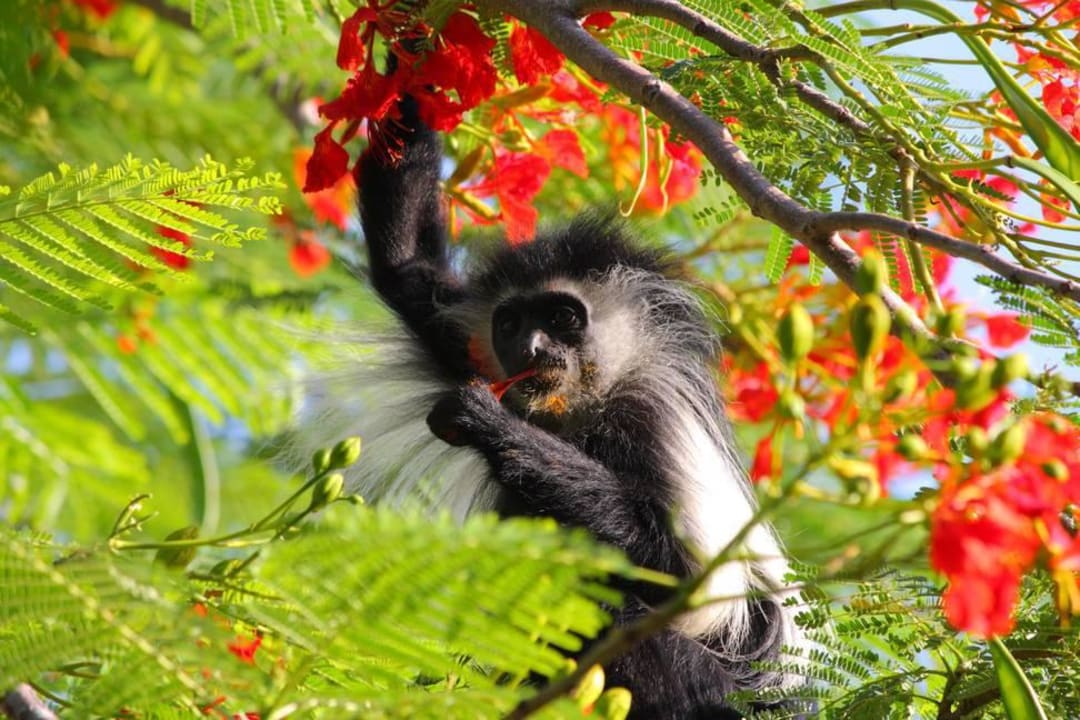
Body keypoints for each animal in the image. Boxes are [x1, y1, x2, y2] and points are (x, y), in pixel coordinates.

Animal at [329, 100, 806, 719]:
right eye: (511, 323)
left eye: (561, 318)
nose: (532, 350)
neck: (580, 409)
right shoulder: (465, 343)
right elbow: (407, 269)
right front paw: (410, 75)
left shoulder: (648, 416)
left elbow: (681, 576)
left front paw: (488, 422)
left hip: (706, 683)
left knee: (624, 618)